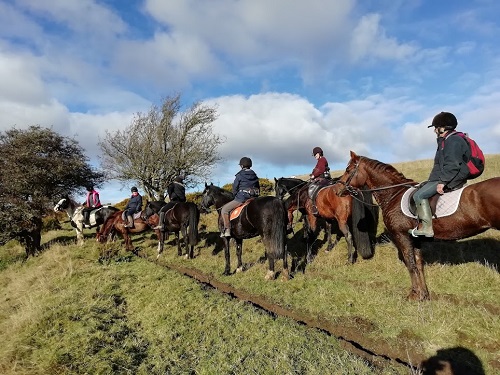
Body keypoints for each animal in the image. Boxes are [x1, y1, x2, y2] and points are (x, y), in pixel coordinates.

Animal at [340, 151, 500, 302]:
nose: (338, 190)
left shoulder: (402, 236)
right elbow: (418, 264)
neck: (393, 194)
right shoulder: (415, 239)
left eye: (348, 170)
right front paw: (423, 295)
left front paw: (414, 295)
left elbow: (410, 264)